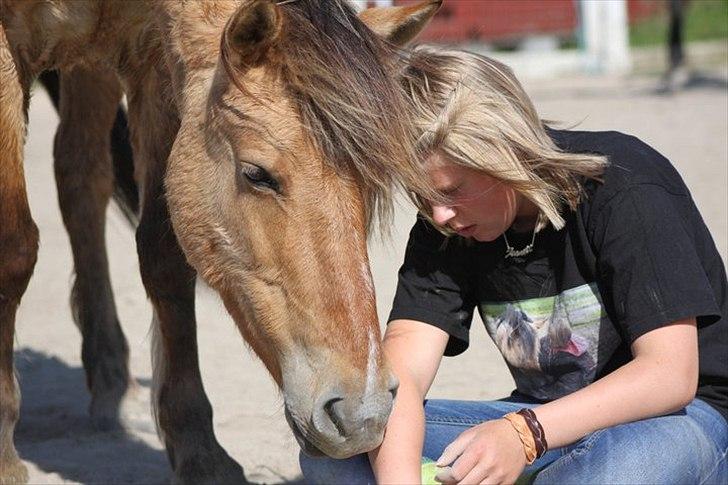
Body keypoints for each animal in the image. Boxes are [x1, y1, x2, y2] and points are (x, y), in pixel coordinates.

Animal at [0, 1, 440, 482]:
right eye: (256, 174)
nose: (364, 414)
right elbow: (14, 250)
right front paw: (5, 455)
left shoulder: (155, 60)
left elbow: (165, 260)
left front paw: (199, 451)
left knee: (81, 177)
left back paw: (114, 382)